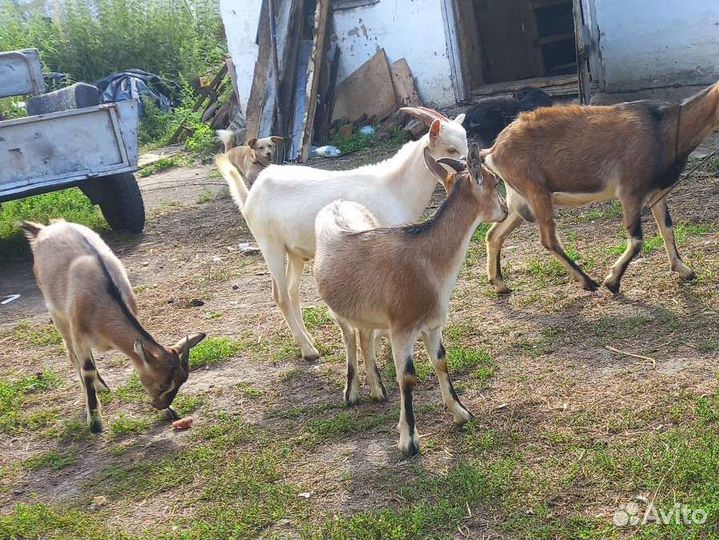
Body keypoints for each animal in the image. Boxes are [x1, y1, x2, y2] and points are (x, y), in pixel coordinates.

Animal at [21, 220, 206, 433]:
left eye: (181, 382)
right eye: (161, 384)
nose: (159, 405)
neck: (105, 297)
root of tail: (43, 229)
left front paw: (169, 412)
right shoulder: (78, 331)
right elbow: (87, 369)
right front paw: (95, 423)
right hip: (58, 315)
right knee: (71, 353)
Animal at [216, 106, 468, 361]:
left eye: (466, 143)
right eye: (451, 149)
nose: (468, 171)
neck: (394, 188)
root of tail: (252, 194)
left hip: (294, 252)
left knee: (292, 290)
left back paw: (309, 340)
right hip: (270, 245)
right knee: (281, 295)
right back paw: (308, 350)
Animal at [313, 144, 508, 456]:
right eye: (494, 182)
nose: (504, 211)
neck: (427, 262)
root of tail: (336, 204)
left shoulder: (432, 325)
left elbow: (441, 362)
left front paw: (461, 413)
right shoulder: (402, 329)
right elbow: (407, 377)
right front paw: (408, 440)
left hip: (367, 311)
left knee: (365, 335)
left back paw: (377, 391)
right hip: (337, 309)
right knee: (349, 338)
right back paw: (352, 393)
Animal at [483, 81, 719, 294]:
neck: (666, 128)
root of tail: (493, 151)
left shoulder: (657, 192)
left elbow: (667, 229)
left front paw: (684, 270)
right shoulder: (630, 191)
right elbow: (636, 239)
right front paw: (612, 282)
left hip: (519, 200)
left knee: (494, 234)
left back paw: (500, 284)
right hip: (536, 192)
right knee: (548, 239)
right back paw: (588, 282)